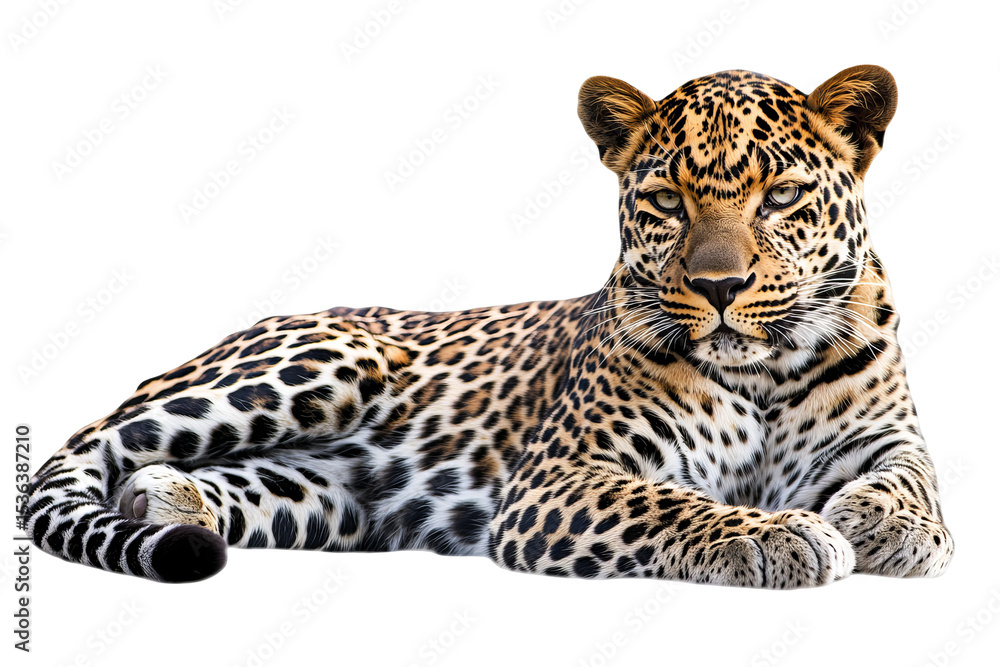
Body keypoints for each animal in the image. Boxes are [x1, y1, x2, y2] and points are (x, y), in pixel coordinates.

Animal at [26, 65, 953, 588]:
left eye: (783, 196)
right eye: (666, 201)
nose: (718, 287)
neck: (762, 369)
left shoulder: (887, 436)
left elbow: (918, 483)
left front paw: (885, 525)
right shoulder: (562, 477)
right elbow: (672, 503)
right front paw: (782, 532)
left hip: (328, 500)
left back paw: (167, 500)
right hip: (328, 356)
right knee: (83, 455)